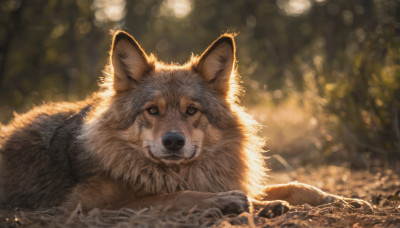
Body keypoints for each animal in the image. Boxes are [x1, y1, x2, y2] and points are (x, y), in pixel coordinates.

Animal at [0, 31, 370, 215]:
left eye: (192, 111)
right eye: (153, 111)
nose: (174, 142)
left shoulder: (220, 176)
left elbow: (298, 185)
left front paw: (342, 200)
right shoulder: (89, 205)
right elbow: (176, 196)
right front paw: (229, 203)